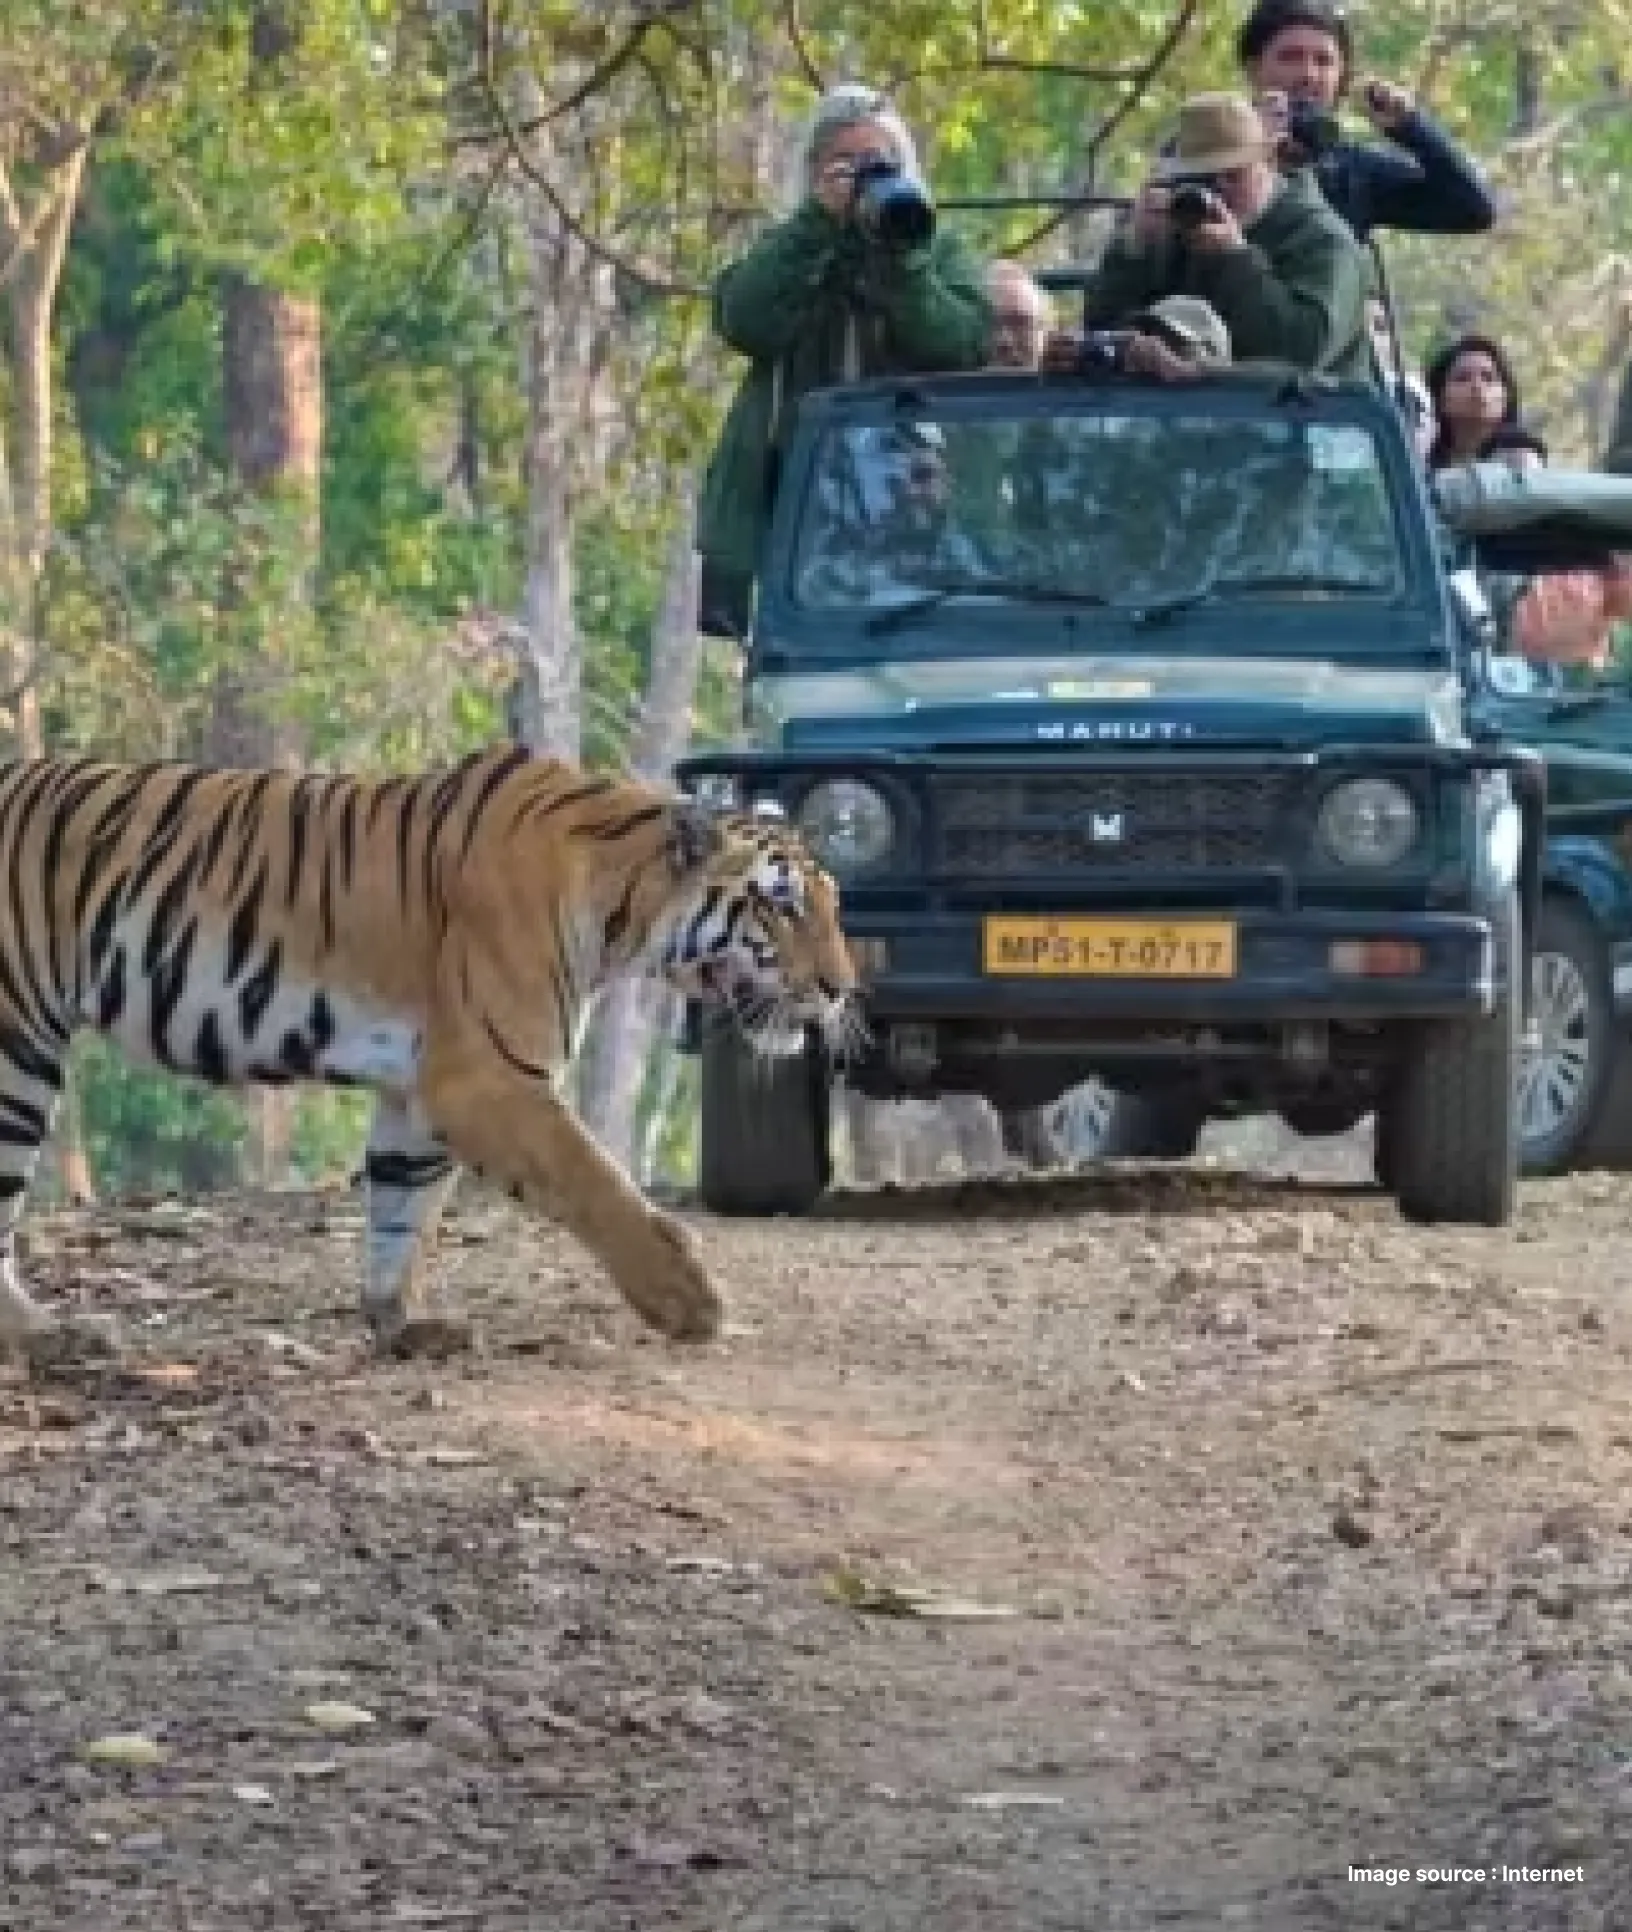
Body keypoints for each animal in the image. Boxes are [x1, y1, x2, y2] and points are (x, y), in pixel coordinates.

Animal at [0, 744, 858, 1367]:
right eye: (781, 905)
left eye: (835, 903)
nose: (842, 987)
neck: (622, 907)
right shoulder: (485, 1077)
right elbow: (596, 1182)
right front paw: (690, 1299)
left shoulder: (419, 1088)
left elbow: (401, 1211)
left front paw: (402, 1325)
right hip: (17, 1049)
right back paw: (46, 1338)